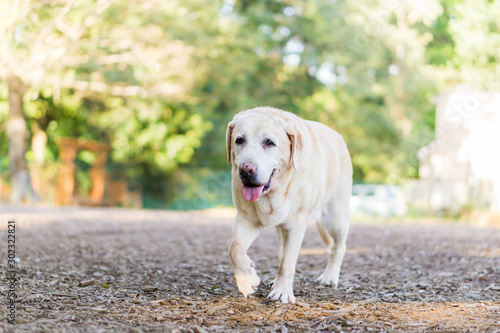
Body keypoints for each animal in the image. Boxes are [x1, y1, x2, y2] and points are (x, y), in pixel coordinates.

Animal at [227, 107, 352, 304]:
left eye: (269, 143)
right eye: (239, 140)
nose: (246, 170)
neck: (273, 193)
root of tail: (337, 135)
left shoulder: (296, 224)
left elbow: (288, 262)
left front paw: (282, 292)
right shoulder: (247, 219)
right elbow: (235, 249)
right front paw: (247, 280)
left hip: (335, 218)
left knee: (338, 247)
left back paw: (329, 277)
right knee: (280, 251)